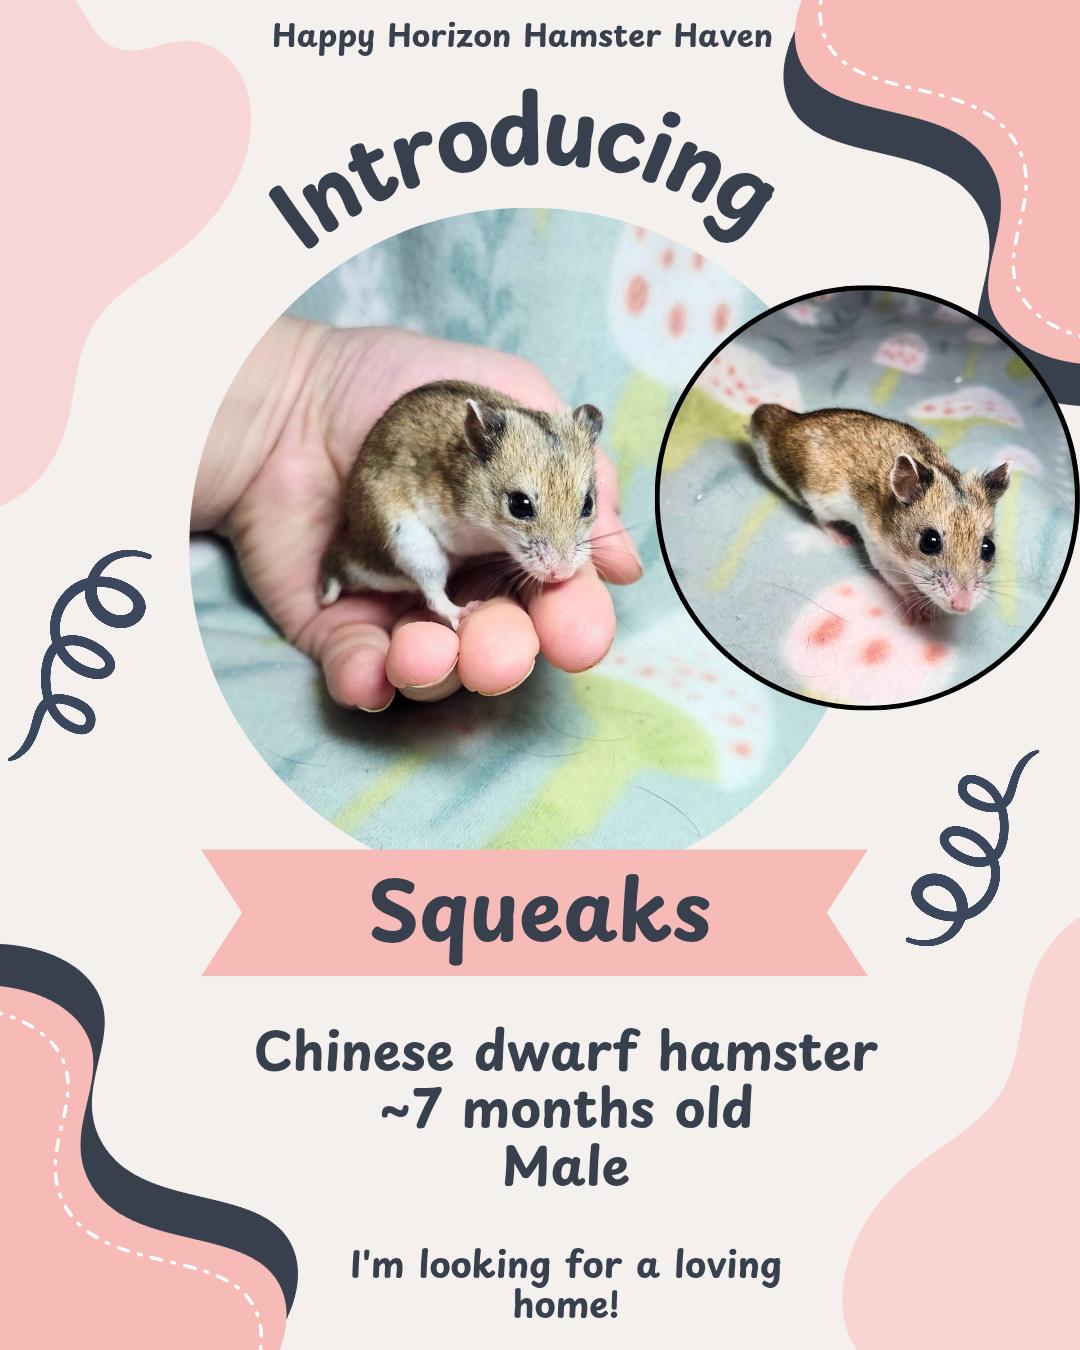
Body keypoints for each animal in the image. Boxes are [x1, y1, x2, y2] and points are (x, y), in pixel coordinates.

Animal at [321, 380, 602, 629]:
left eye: (588, 503)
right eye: (519, 505)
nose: (563, 575)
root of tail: (352, 554)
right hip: (411, 545)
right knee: (433, 595)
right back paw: (465, 611)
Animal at [749, 405, 1011, 616]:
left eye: (989, 548)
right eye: (929, 541)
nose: (962, 606)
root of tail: (785, 421)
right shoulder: (878, 549)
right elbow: (896, 579)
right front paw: (921, 615)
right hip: (822, 502)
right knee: (821, 520)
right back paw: (841, 538)